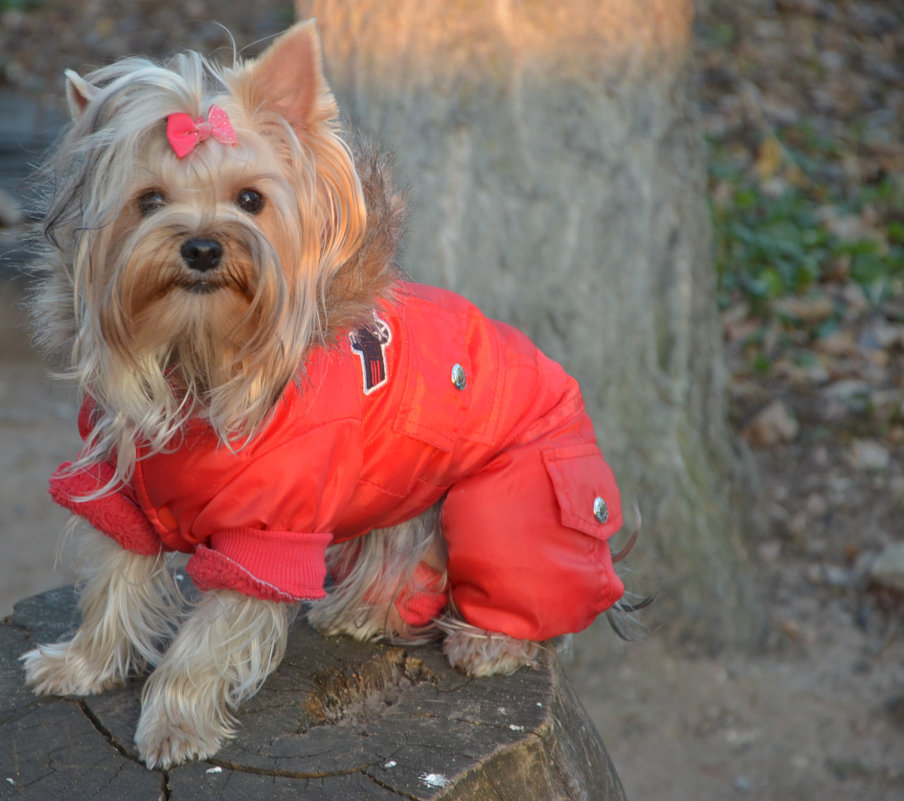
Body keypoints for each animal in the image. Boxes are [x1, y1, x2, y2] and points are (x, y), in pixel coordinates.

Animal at [21, 21, 644, 764]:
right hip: (414, 489)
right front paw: (78, 664)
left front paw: (174, 724)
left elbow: (210, 635)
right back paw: (361, 612)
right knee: (405, 549)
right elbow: (112, 581)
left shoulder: (269, 533)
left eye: (251, 199)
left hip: (516, 499)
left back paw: (489, 642)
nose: (202, 247)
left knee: (521, 578)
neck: (198, 358)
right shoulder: (123, 492)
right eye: (148, 201)